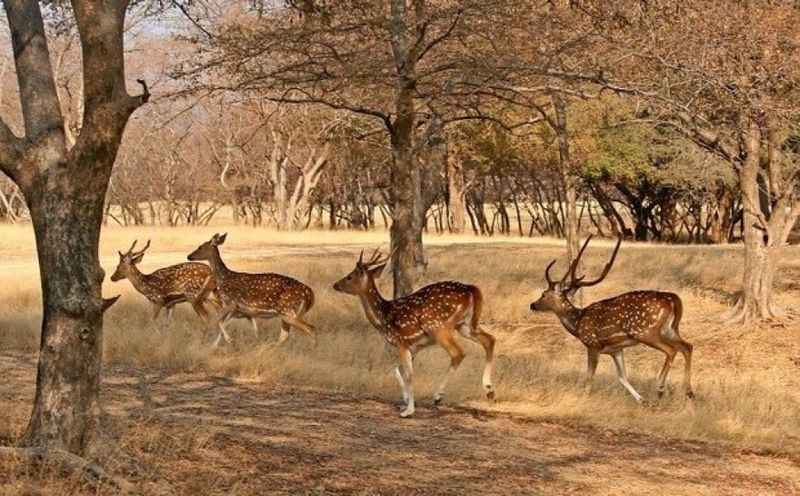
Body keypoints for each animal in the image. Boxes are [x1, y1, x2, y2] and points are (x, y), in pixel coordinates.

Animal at [188, 233, 316, 346]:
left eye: (200, 247)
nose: (189, 256)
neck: (223, 278)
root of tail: (308, 292)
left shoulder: (231, 303)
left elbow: (217, 320)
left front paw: (230, 340)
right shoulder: (240, 310)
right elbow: (226, 323)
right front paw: (217, 344)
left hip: (287, 311)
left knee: (310, 328)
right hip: (286, 313)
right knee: (285, 335)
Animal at [332, 248, 494, 418]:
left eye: (350, 276)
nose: (335, 285)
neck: (383, 319)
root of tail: (471, 289)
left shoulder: (401, 341)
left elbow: (409, 375)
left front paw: (408, 411)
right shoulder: (414, 346)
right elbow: (398, 370)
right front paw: (405, 399)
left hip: (438, 327)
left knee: (458, 353)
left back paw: (438, 396)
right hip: (465, 325)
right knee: (489, 339)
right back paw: (489, 390)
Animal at [528, 236, 692, 404]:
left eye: (544, 294)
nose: (532, 305)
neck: (578, 323)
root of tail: (674, 299)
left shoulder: (592, 344)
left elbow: (589, 377)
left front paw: (584, 397)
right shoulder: (616, 350)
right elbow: (622, 377)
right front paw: (641, 400)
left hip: (646, 331)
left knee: (671, 350)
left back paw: (660, 388)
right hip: (670, 329)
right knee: (687, 346)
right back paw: (688, 392)